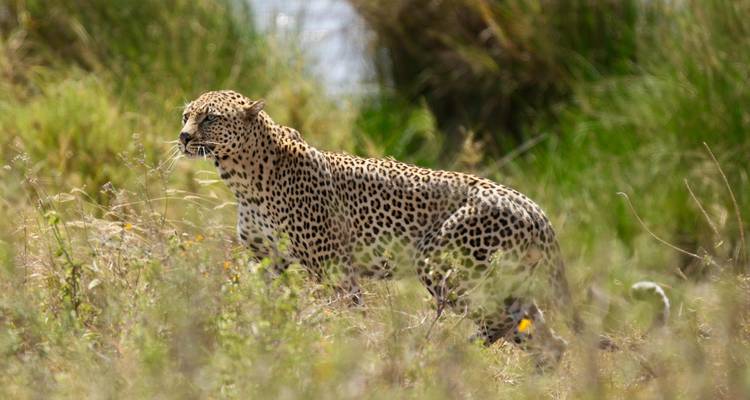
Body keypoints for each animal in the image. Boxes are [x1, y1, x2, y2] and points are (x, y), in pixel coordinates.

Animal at [177, 90, 610, 368]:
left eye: (210, 118)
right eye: (186, 115)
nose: (182, 136)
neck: (243, 178)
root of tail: (535, 207)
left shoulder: (334, 269)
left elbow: (346, 315)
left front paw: (346, 346)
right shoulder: (267, 259)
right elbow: (257, 300)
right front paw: (252, 331)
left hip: (444, 267)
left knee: (500, 322)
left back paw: (445, 352)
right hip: (505, 282)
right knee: (546, 338)